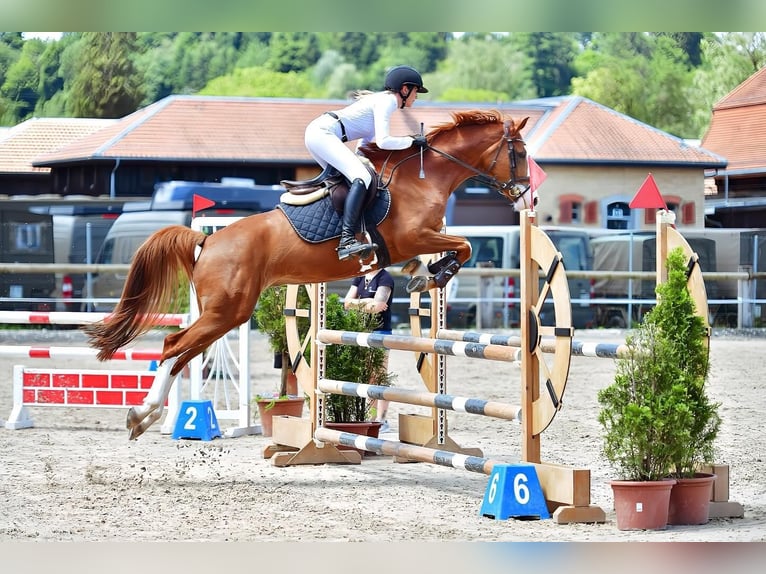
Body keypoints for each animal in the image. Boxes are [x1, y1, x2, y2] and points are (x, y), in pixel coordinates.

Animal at [81, 109, 532, 440]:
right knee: (173, 345)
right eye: (519, 152)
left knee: (183, 354)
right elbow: (465, 245)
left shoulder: (418, 241)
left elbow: (448, 251)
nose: (525, 193)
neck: (425, 176)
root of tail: (206, 241)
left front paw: (426, 274)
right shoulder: (415, 235)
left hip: (224, 314)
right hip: (226, 311)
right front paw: (438, 272)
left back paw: (146, 415)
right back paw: (142, 414)